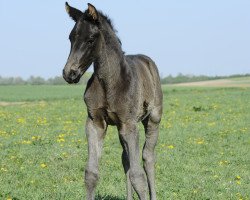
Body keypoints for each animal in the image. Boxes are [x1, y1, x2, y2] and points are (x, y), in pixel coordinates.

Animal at [63, 2, 163, 199]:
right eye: (71, 38)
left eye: (91, 39)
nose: (69, 73)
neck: (110, 82)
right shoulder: (95, 123)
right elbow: (91, 173)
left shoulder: (130, 125)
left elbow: (138, 175)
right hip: (119, 128)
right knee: (126, 159)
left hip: (153, 119)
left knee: (148, 157)